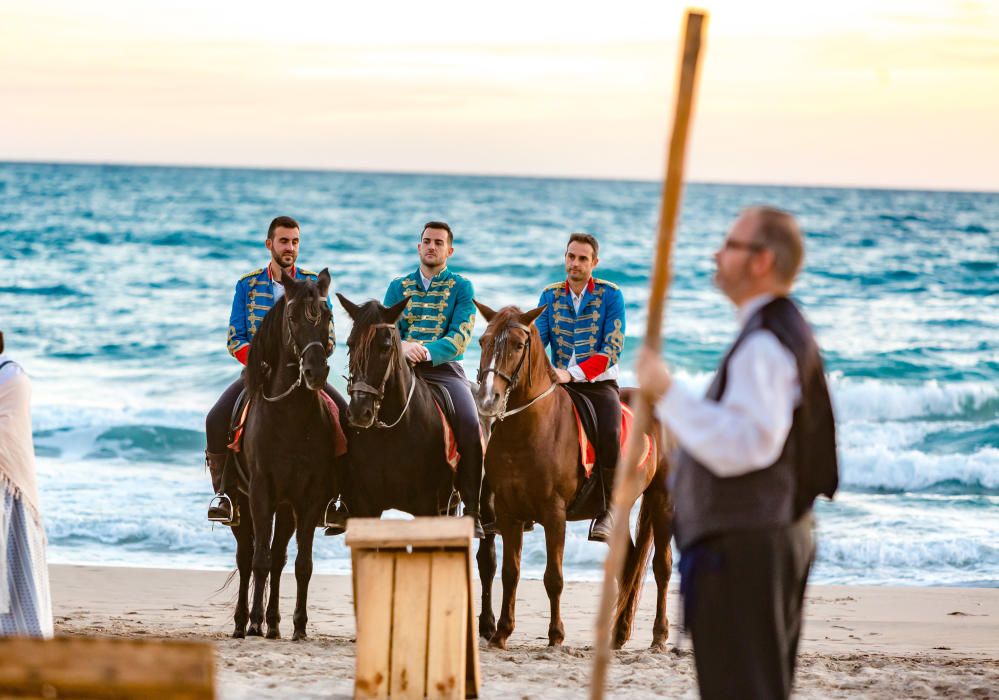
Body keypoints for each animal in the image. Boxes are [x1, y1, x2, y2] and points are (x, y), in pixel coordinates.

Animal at [231, 268, 344, 640]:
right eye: (292, 317)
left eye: (327, 316)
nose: (315, 372)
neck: (291, 416)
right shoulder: (260, 491)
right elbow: (259, 560)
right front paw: (254, 622)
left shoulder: (309, 497)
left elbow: (301, 564)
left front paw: (299, 626)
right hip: (240, 503)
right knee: (246, 556)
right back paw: (243, 622)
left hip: (285, 509)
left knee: (279, 557)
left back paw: (275, 623)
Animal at [472, 300, 676, 652]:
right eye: (483, 341)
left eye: (518, 345)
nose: (487, 400)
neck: (526, 430)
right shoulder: (509, 515)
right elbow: (511, 572)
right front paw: (501, 633)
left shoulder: (554, 514)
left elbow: (553, 577)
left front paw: (556, 635)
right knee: (628, 562)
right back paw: (618, 634)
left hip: (662, 498)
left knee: (662, 568)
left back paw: (659, 636)